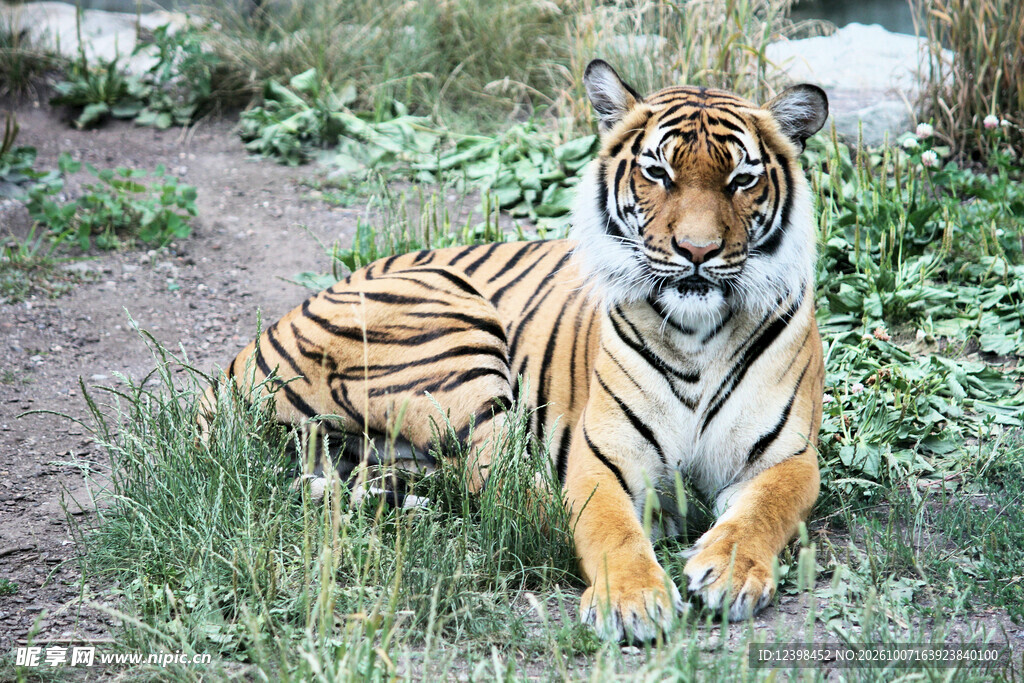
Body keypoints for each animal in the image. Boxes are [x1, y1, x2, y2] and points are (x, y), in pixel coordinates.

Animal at [198, 59, 828, 641]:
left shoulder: (787, 456)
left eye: (741, 180)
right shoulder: (603, 457)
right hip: (452, 333)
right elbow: (607, 525)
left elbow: (762, 513)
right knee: (508, 494)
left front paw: (730, 571)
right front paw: (631, 600)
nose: (697, 251)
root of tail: (233, 364)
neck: (698, 332)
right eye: (658, 173)